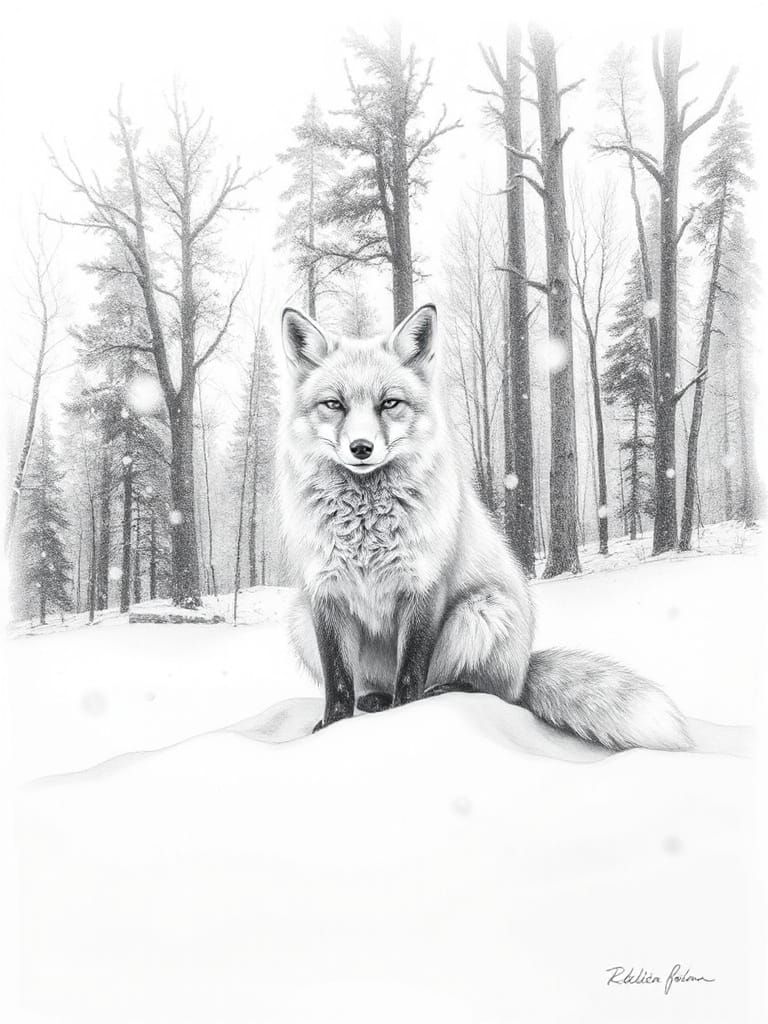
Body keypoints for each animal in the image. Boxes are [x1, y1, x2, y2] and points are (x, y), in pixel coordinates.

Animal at [277, 302, 691, 752]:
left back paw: (444, 692)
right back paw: (374, 700)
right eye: (334, 404)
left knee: (493, 693)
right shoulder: (324, 595)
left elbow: (410, 673)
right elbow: (337, 680)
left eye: (389, 403)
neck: (366, 526)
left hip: (482, 610)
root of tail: (525, 666)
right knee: (374, 686)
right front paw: (332, 728)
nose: (361, 448)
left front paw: (405, 721)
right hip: (299, 617)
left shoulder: (426, 588)